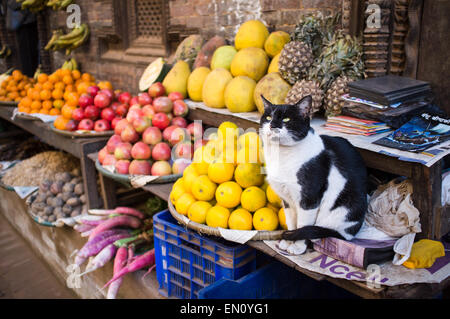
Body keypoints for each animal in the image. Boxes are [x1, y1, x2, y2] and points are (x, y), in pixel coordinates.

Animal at [258, 95, 368, 255]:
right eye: (268, 117)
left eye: (286, 119)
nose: (272, 125)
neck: (282, 156)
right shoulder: (287, 199)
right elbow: (291, 222)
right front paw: (287, 242)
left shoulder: (309, 199)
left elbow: (302, 225)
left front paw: (297, 246)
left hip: (348, 206)